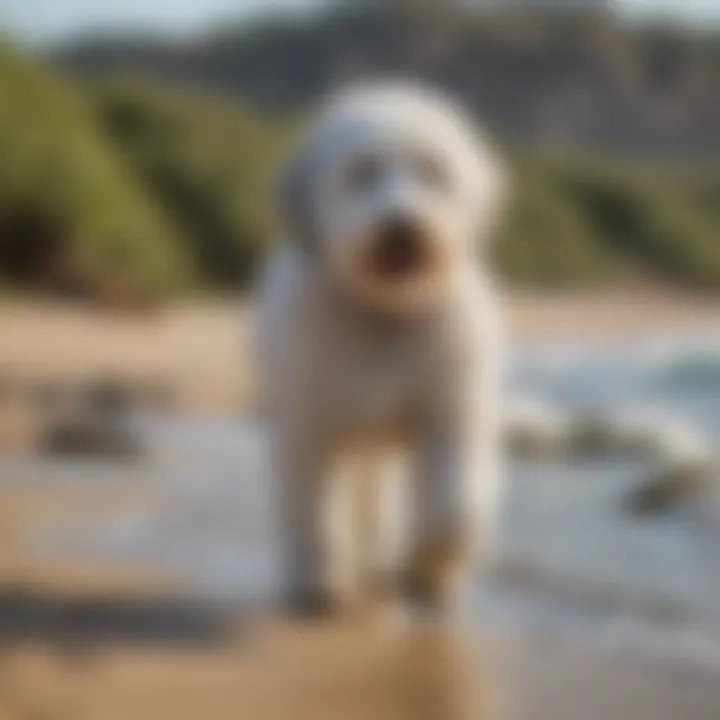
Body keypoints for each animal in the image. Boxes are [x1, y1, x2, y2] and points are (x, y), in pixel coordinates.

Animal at [253, 83, 506, 612]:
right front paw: (320, 581)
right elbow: (314, 507)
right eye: (362, 172)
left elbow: (456, 504)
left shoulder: (450, 410)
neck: (386, 313)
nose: (401, 226)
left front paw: (431, 570)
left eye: (433, 171)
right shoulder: (312, 422)